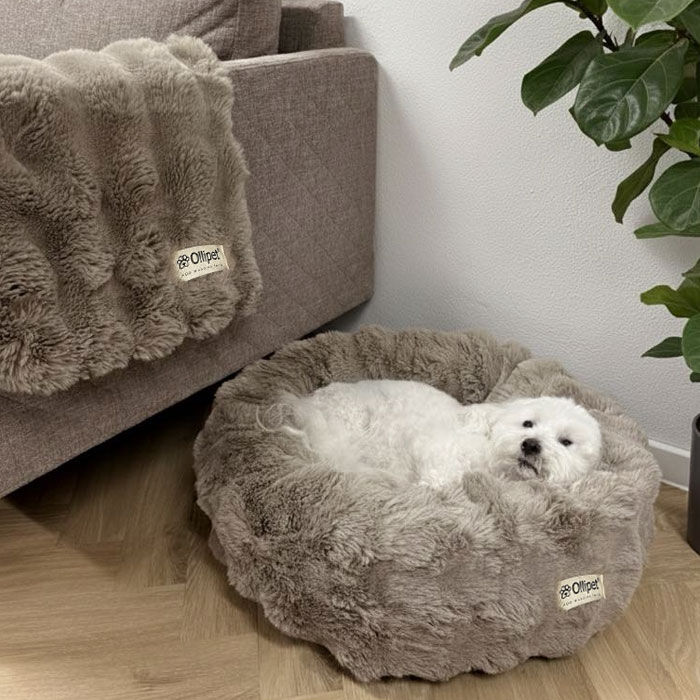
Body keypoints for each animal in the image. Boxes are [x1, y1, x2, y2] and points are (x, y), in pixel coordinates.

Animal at [280, 380, 602, 488]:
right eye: (527, 424)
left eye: (566, 442)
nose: (531, 445)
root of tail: (309, 406)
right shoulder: (435, 451)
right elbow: (435, 479)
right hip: (351, 420)